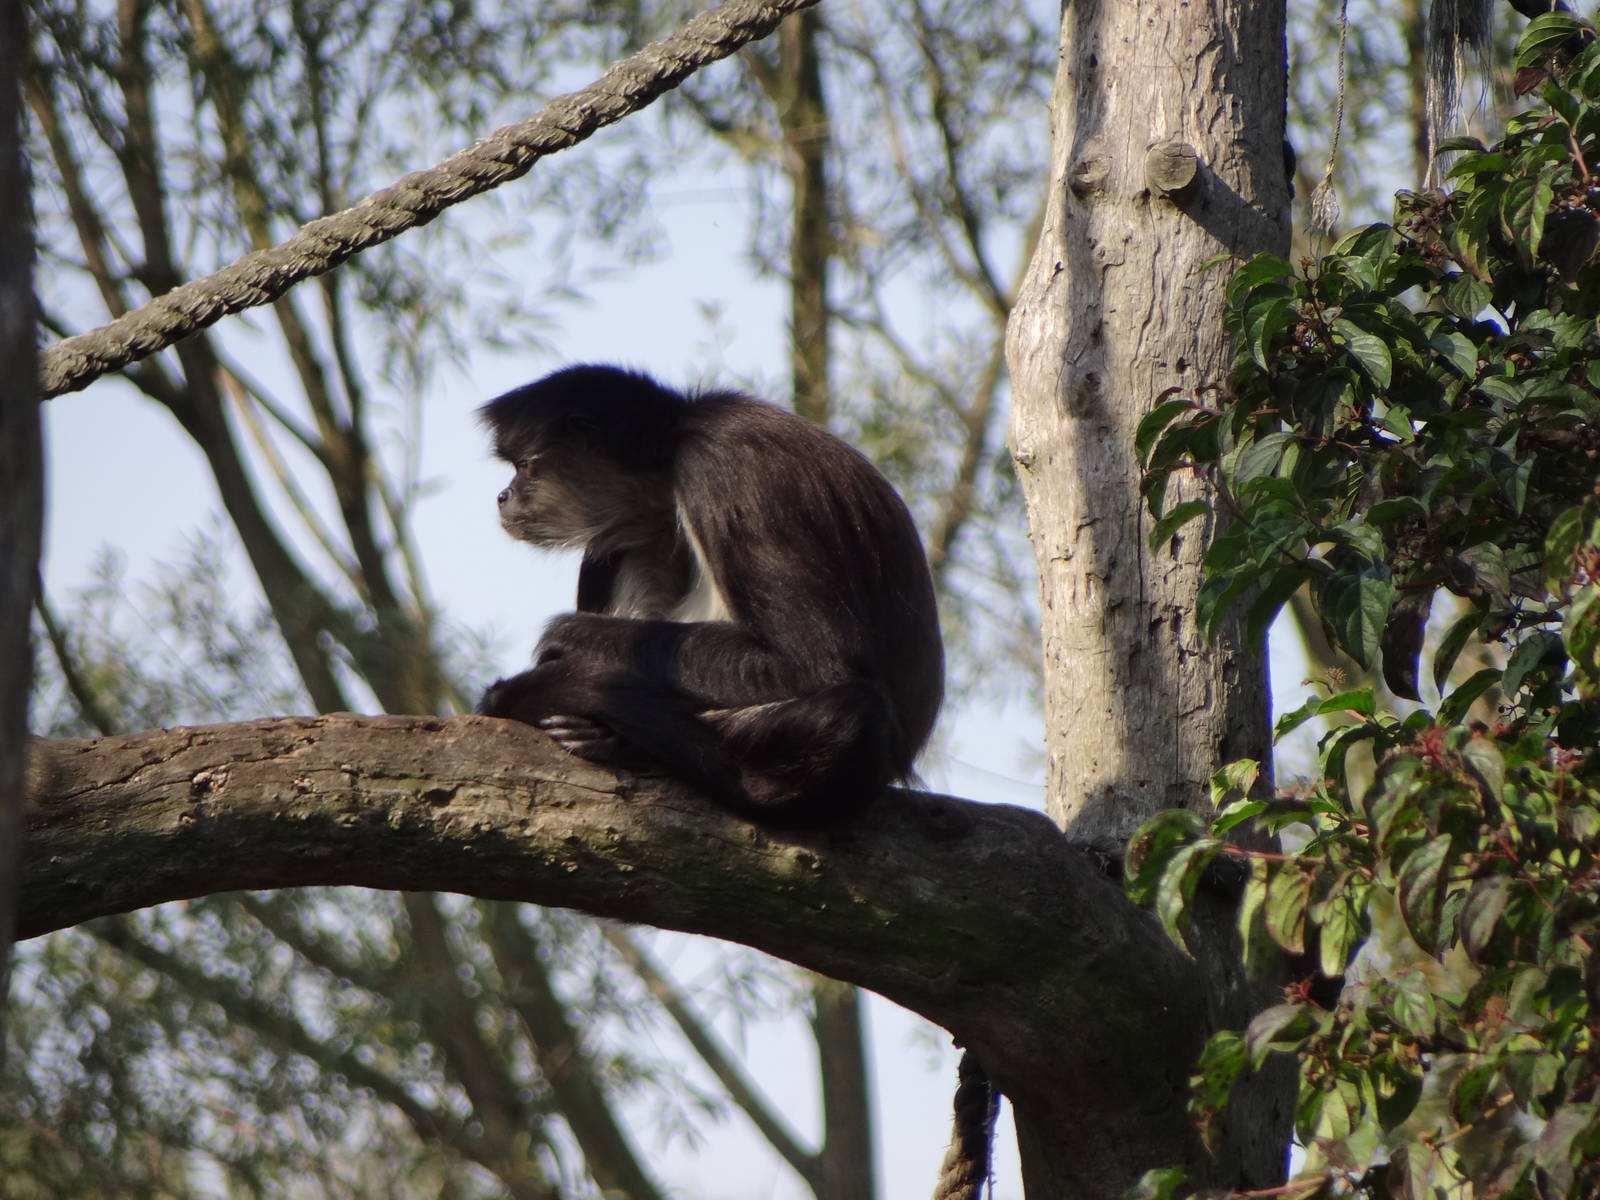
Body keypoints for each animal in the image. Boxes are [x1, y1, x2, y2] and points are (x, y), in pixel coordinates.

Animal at [476, 364, 944, 826]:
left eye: (526, 468)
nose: (503, 496)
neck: (677, 439)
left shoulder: (721, 463)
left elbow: (815, 663)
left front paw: (566, 637)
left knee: (852, 712)